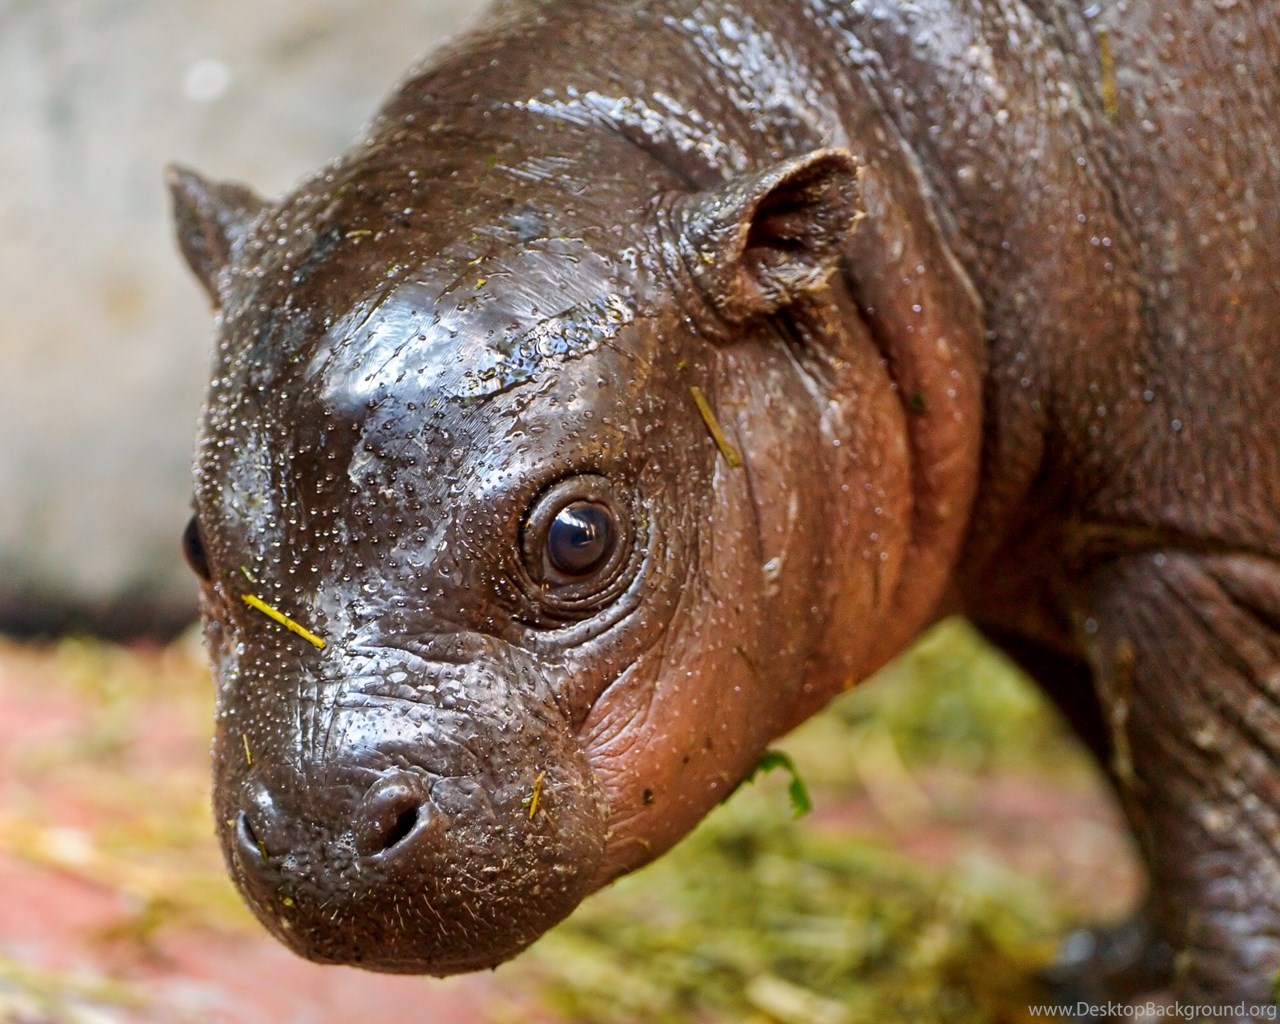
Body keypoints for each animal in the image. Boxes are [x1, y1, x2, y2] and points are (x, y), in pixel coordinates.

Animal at [168, 0, 1280, 1008]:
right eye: (194, 544)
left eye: (578, 537)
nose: (319, 831)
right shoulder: (1044, 557)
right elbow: (1128, 768)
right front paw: (1108, 968)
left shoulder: (1185, 550)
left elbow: (1223, 814)